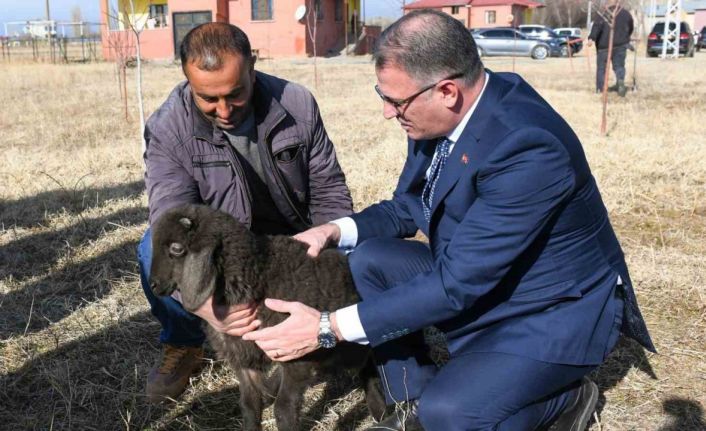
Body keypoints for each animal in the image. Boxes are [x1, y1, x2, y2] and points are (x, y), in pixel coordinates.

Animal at [145, 205, 382, 431]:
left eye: (176, 248)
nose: (154, 285)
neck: (258, 276)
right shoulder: (244, 358)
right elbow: (250, 405)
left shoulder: (298, 354)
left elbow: (284, 408)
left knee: (367, 364)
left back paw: (379, 409)